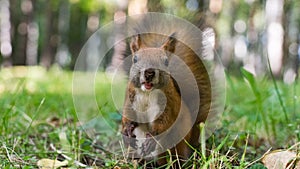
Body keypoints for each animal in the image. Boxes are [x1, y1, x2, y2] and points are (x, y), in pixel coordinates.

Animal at [120, 20, 212, 166]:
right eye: (135, 59)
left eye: (166, 61)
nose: (149, 72)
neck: (147, 93)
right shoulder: (130, 100)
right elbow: (128, 116)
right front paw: (127, 130)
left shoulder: (169, 105)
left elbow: (165, 122)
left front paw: (151, 138)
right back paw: (137, 162)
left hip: (172, 147)